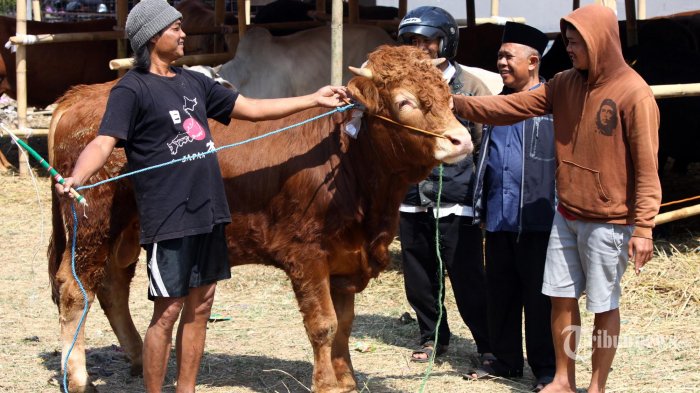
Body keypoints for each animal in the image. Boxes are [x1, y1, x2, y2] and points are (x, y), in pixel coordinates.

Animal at [49, 44, 470, 390]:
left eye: (448, 96)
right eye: (405, 101)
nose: (462, 140)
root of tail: (84, 94)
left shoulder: (345, 260)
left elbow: (345, 324)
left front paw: (347, 378)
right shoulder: (306, 255)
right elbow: (324, 325)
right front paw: (327, 384)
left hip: (125, 232)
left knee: (112, 287)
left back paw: (138, 358)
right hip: (92, 225)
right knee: (74, 289)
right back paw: (80, 377)